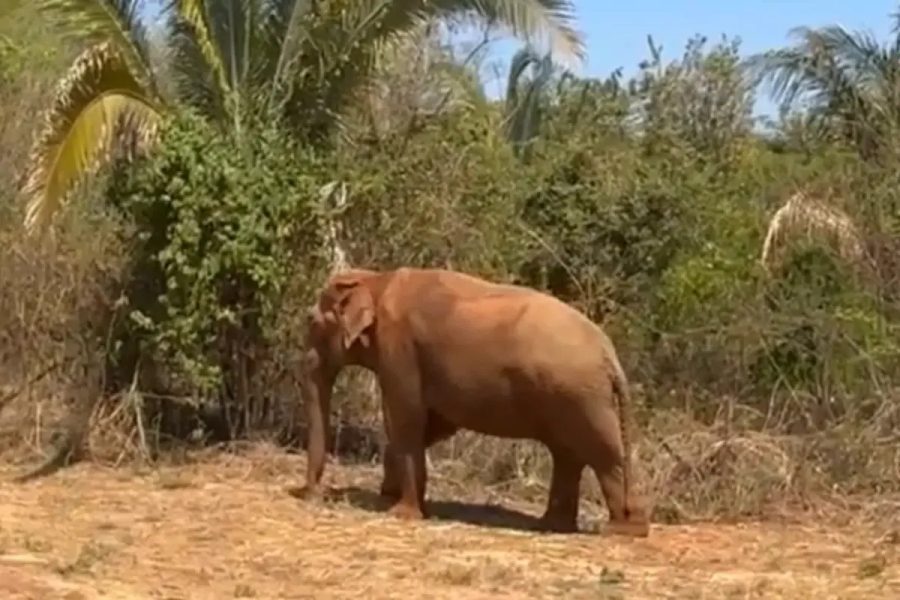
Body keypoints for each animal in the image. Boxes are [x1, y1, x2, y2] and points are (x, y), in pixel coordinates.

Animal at [296, 266, 650, 538]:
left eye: (311, 321)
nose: (313, 494)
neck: (377, 279)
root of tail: (610, 355)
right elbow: (434, 424)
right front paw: (388, 494)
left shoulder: (399, 348)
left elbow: (407, 418)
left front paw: (399, 512)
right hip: (572, 396)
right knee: (568, 455)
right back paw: (554, 526)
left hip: (580, 397)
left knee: (602, 454)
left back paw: (622, 530)